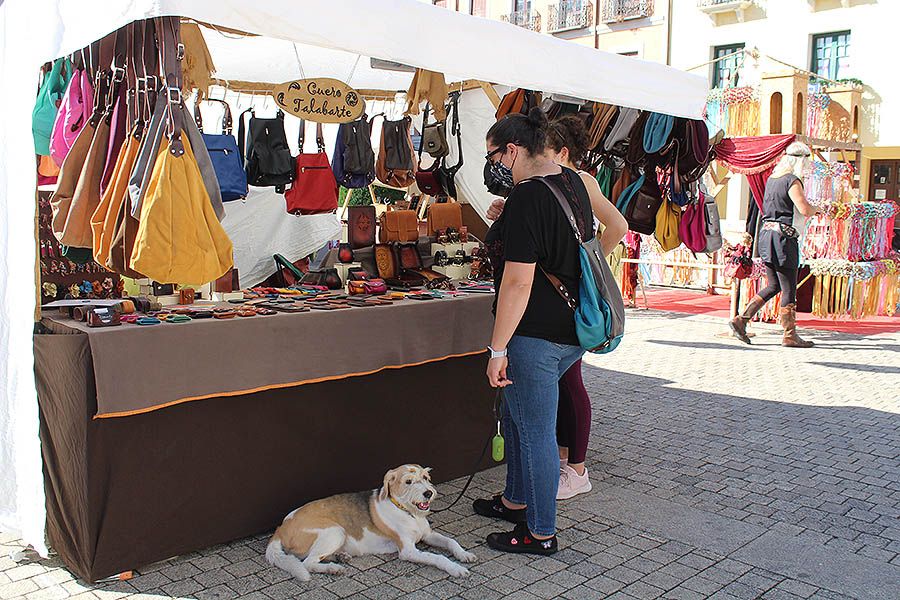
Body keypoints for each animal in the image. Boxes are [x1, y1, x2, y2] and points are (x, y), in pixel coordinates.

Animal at [266, 464, 476, 580]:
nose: (428, 493)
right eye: (408, 482)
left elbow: (451, 541)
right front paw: (456, 569)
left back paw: (340, 556)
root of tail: (280, 528)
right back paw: (333, 568)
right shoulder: (408, 551)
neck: (407, 512)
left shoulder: (428, 535)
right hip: (335, 530)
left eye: (425, 478)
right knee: (308, 563)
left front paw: (464, 555)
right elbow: (438, 557)